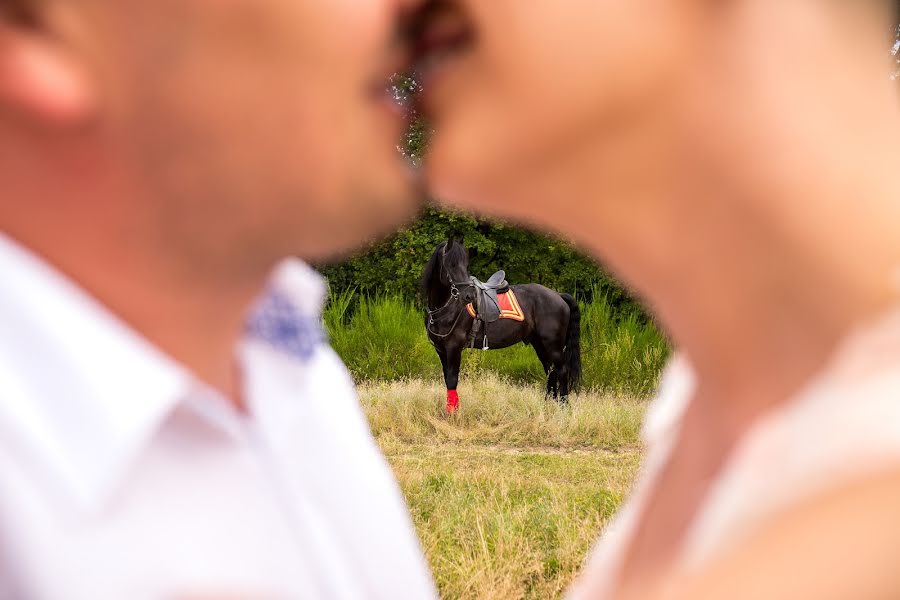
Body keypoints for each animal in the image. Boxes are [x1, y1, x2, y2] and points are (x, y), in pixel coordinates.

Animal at [418, 239, 580, 412]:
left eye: (465, 265)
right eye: (451, 264)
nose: (469, 296)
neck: (446, 308)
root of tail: (558, 295)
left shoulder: (454, 347)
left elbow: (452, 379)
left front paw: (452, 413)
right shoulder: (441, 349)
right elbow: (447, 379)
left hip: (553, 346)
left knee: (561, 371)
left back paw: (563, 407)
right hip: (540, 344)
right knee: (550, 371)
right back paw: (548, 406)